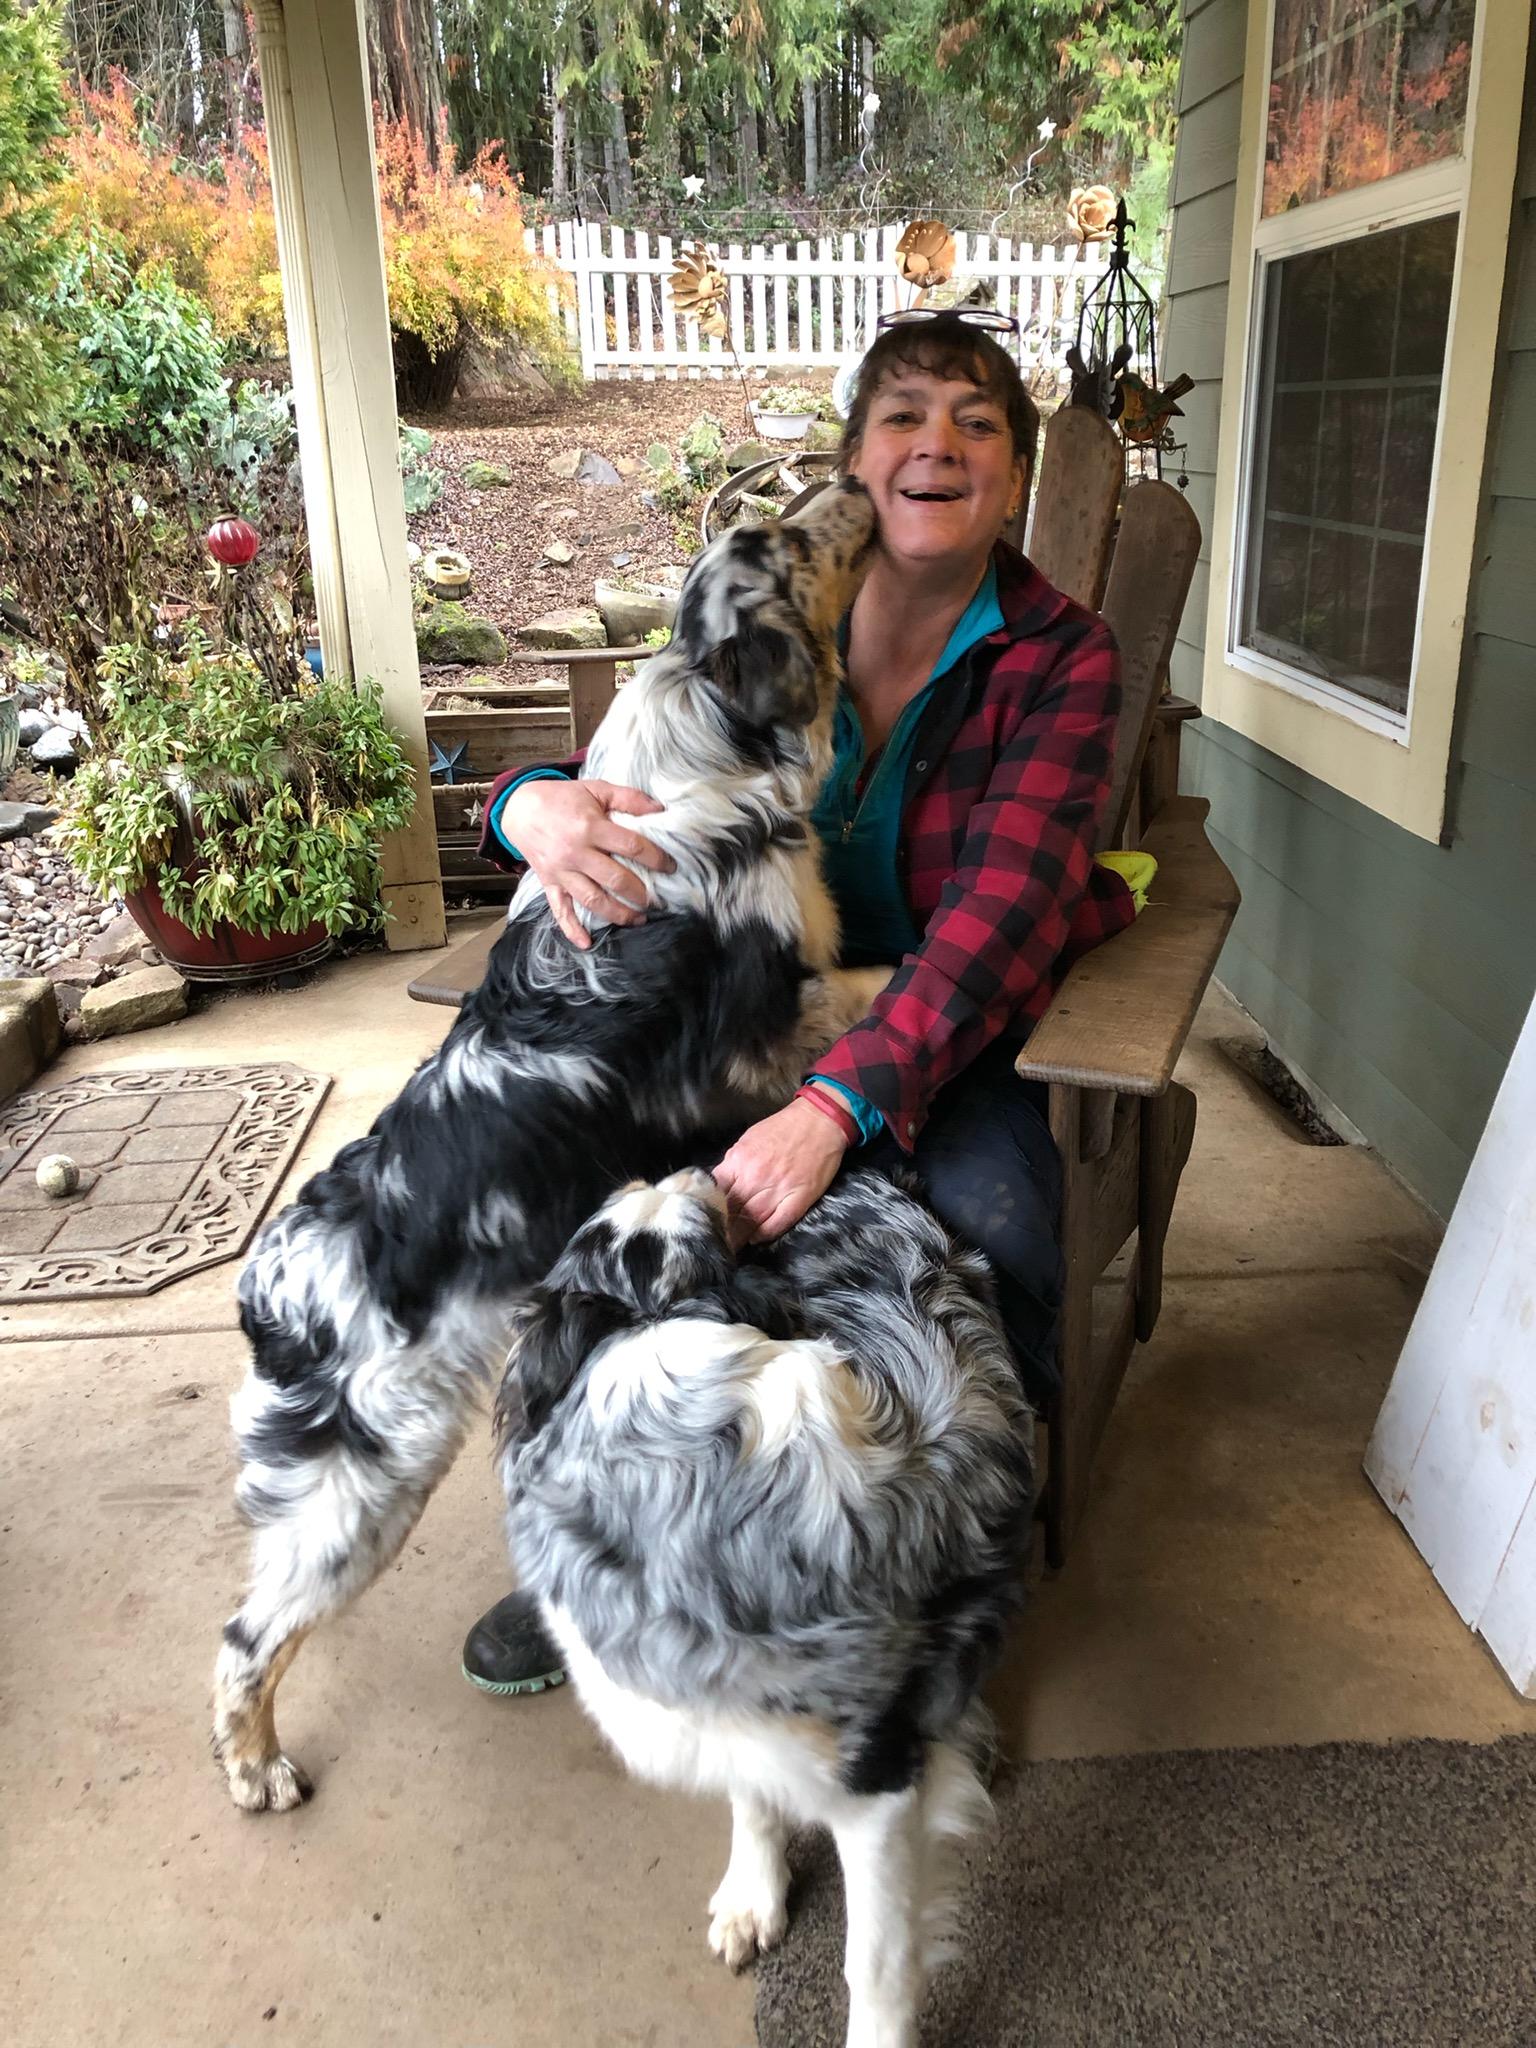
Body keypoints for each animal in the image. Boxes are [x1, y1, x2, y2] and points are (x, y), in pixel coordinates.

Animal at [212, 478, 892, 1812]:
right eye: (787, 540)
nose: (857, 477)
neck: (713, 722)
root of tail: (273, 1287)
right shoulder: (755, 1046)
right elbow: (871, 983)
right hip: (367, 1477)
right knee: (246, 1635)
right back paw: (256, 1766)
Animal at [499, 1165, 1036, 2048]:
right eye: (627, 1228)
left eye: (659, 1213)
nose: (706, 1171)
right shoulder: (733, 1704)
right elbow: (750, 1797)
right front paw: (755, 1894)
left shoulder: (875, 1782)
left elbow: (877, 1965)